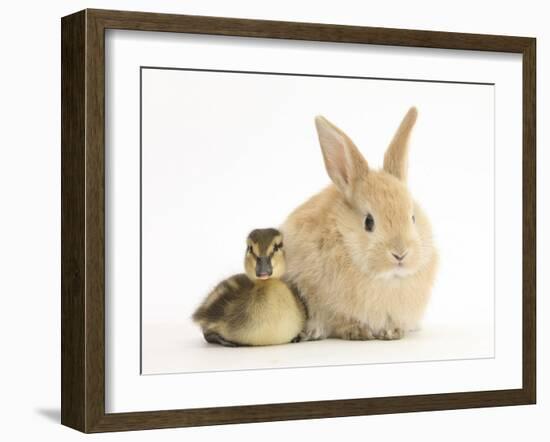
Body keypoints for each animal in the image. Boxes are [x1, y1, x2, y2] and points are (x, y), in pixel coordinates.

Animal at [282, 108, 438, 342]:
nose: (400, 254)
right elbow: (340, 321)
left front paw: (393, 332)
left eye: (412, 217)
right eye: (368, 222)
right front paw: (358, 331)